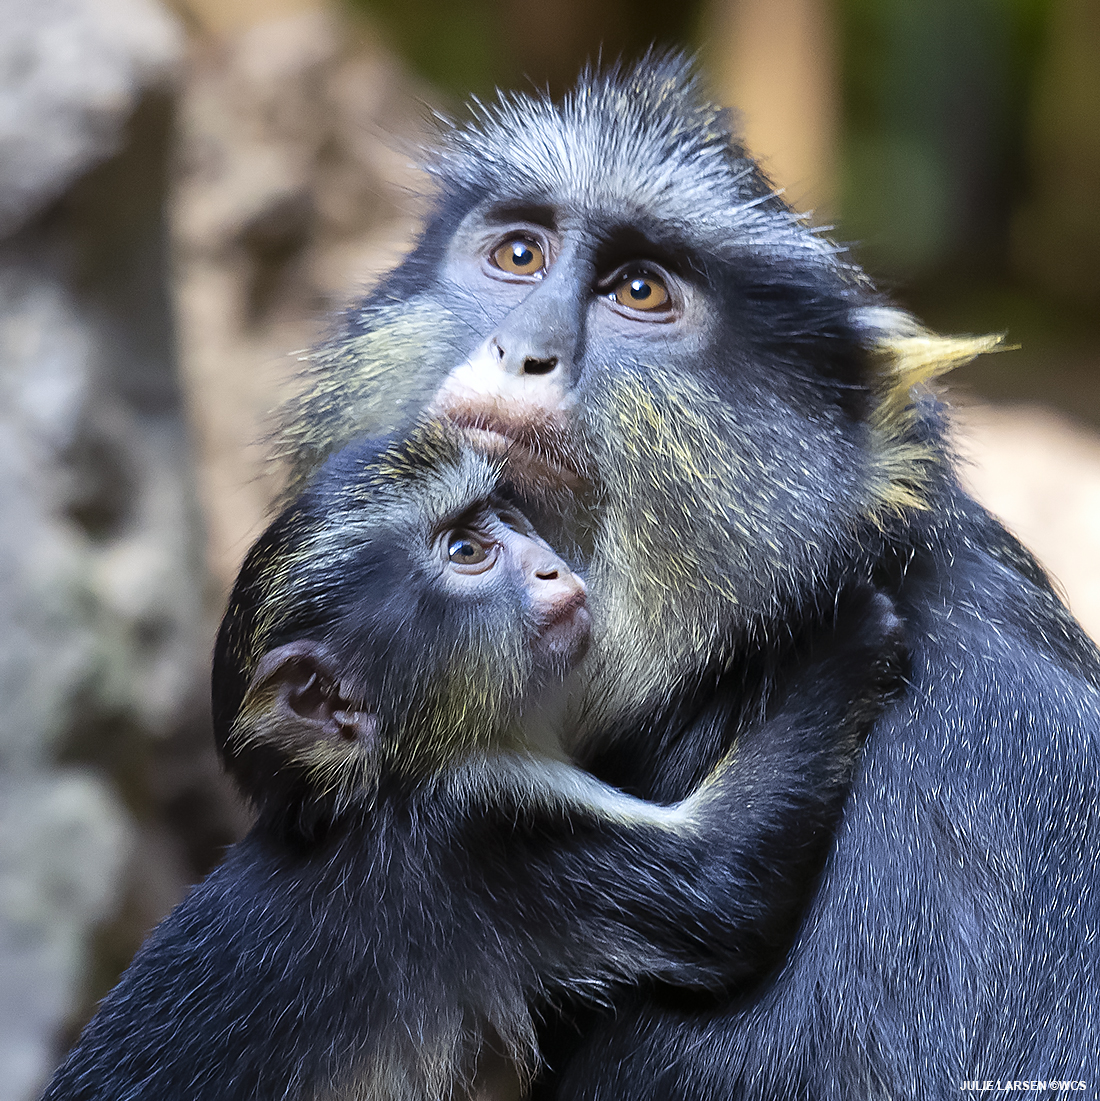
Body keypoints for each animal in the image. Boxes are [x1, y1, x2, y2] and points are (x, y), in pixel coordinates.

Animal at [41, 424, 904, 1101]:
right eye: (467, 550)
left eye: (505, 518)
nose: (553, 565)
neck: (372, 789)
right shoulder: (479, 830)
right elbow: (723, 884)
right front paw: (854, 626)